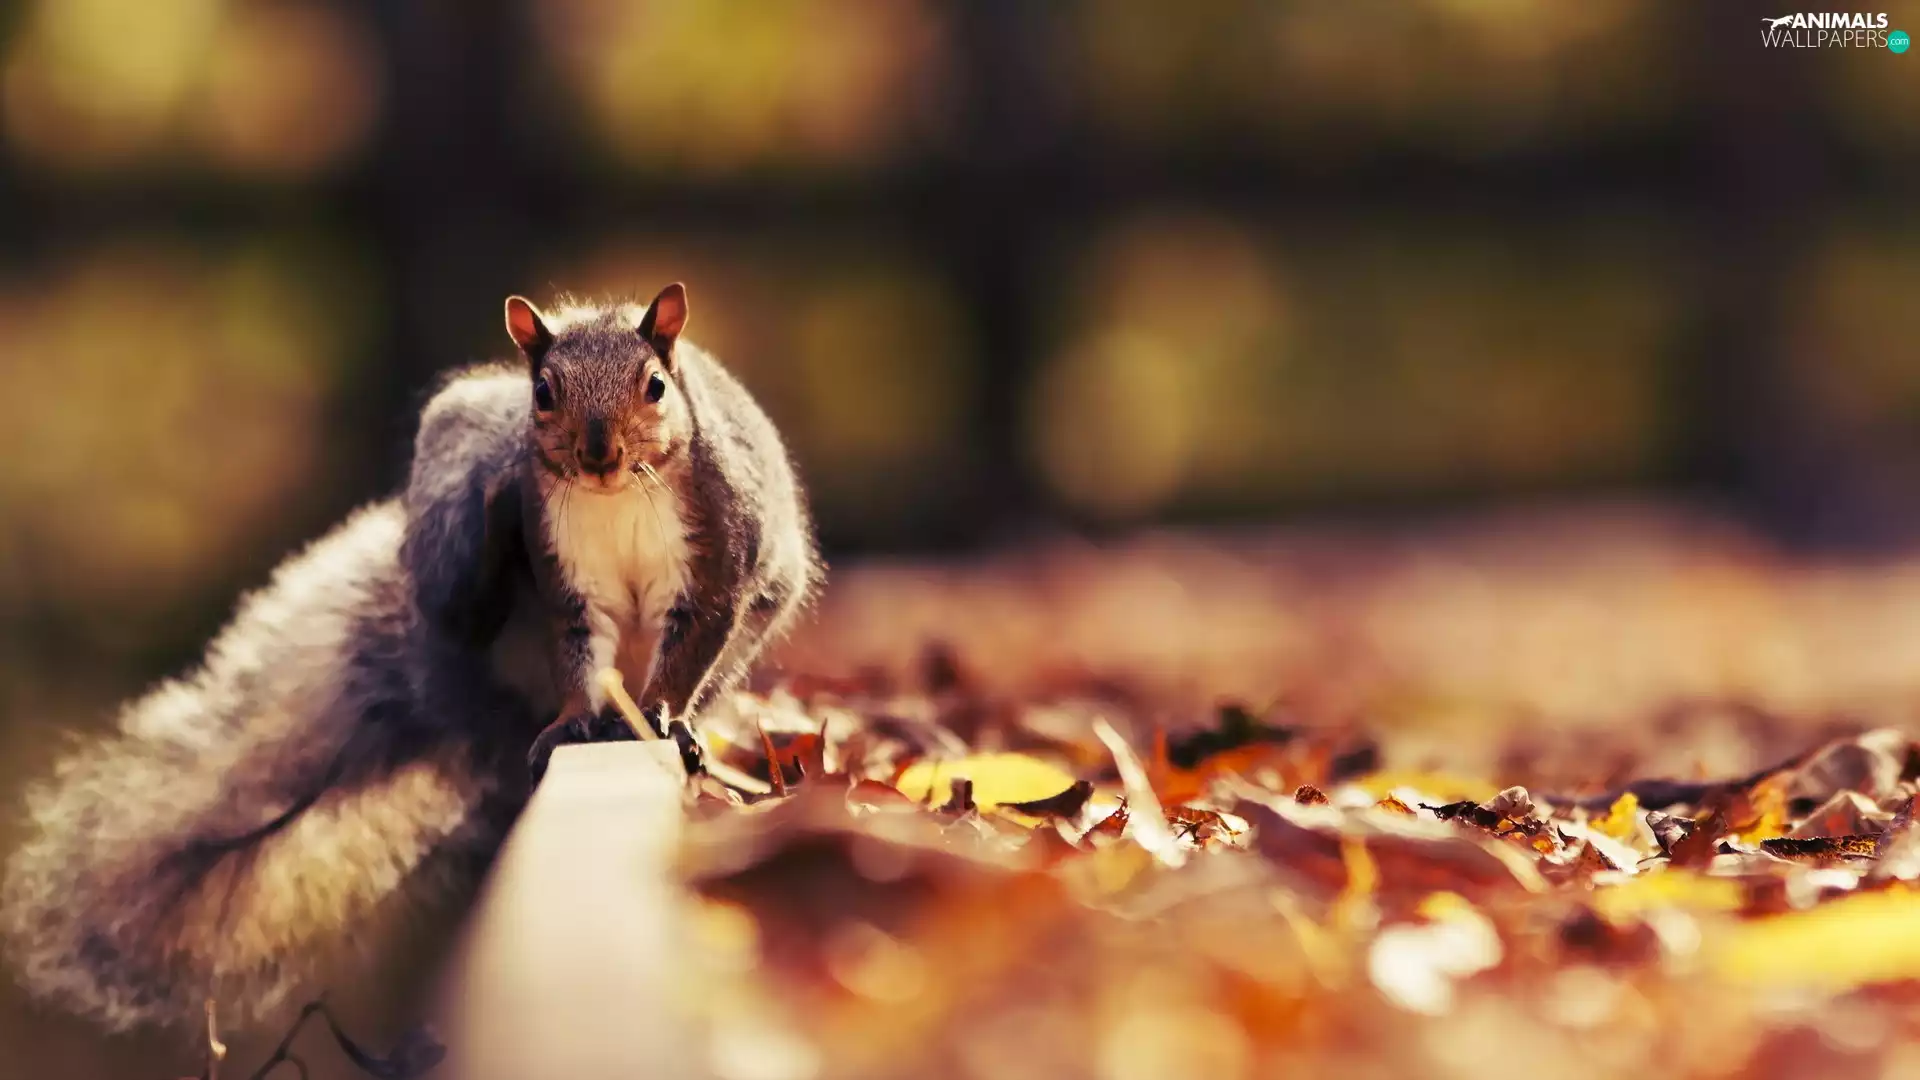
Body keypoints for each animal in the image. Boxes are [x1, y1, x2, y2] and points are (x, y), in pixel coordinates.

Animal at [2, 282, 820, 1033]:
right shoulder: (567, 583)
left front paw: (664, 718)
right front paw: (573, 721)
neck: (616, 498)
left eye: (654, 386)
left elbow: (696, 639)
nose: (597, 455)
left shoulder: (717, 556)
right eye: (542, 392)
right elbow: (579, 656)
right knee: (476, 605)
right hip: (455, 556)